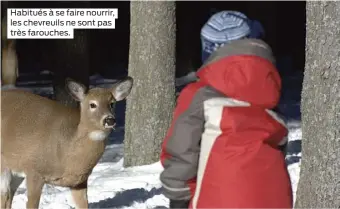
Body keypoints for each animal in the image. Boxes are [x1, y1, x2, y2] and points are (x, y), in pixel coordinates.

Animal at [1, 76, 134, 208]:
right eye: (92, 104)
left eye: (112, 103)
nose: (109, 120)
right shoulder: (34, 170)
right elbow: (31, 204)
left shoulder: (79, 181)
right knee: (5, 194)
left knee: (9, 194)